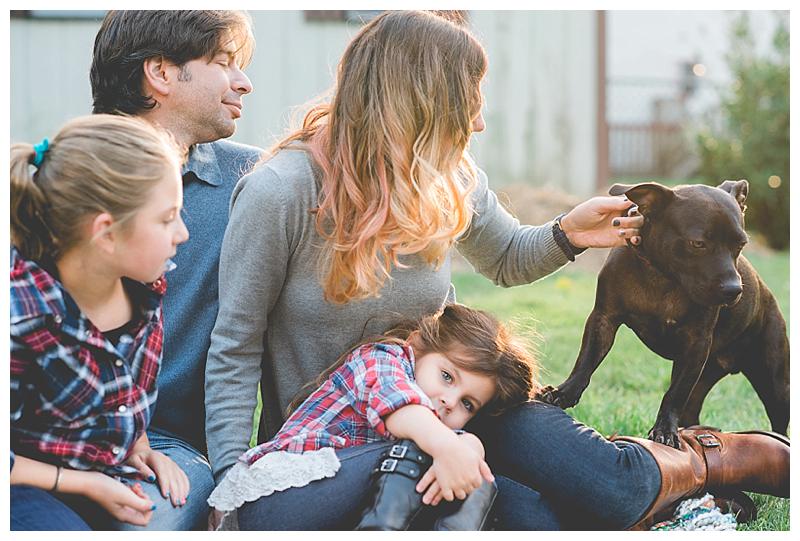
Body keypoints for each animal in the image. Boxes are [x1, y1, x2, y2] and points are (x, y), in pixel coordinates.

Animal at [536, 180, 788, 448]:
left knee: (779, 423)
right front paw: (564, 392)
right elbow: (586, 361)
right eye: (698, 243)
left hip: (775, 385)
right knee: (691, 412)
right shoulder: (603, 320)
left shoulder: (695, 346)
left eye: (741, 244)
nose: (734, 290)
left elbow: (674, 393)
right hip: (703, 379)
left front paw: (665, 430)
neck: (662, 275)